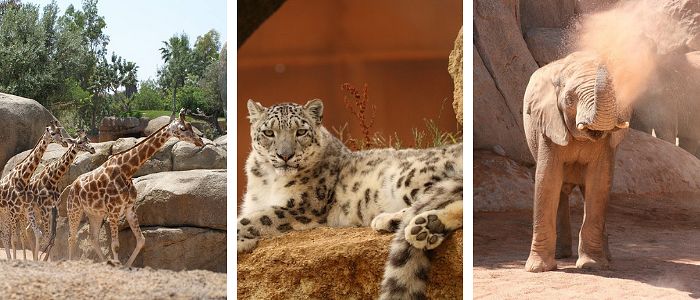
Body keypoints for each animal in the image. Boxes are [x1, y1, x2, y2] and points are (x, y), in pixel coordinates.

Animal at [0, 120, 67, 258]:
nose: (65, 142)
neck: (22, 178)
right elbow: (14, 239)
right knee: (7, 236)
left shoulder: (22, 209)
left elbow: (28, 235)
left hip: (5, 213)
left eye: (60, 131)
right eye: (53, 133)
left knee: (5, 235)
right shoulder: (14, 209)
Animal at [64, 110, 202, 268]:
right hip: (74, 209)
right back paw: (71, 261)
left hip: (95, 213)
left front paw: (125, 265)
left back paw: (105, 262)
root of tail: (72, 186)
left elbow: (141, 240)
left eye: (191, 126)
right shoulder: (114, 210)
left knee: (93, 238)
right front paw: (118, 265)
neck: (127, 170)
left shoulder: (129, 208)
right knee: (71, 237)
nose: (200, 141)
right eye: (183, 128)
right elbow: (115, 245)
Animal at [238, 99, 462, 298]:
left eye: (300, 132)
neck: (269, 179)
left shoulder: (303, 207)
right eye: (269, 132)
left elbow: (254, 219)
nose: (285, 155)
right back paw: (427, 227)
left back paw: (397, 221)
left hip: (409, 177)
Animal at [524, 51, 632, 272]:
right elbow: (547, 180)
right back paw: (561, 255)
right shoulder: (549, 125)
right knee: (560, 191)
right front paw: (537, 269)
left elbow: (599, 183)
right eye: (568, 100)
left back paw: (607, 259)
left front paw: (592, 265)